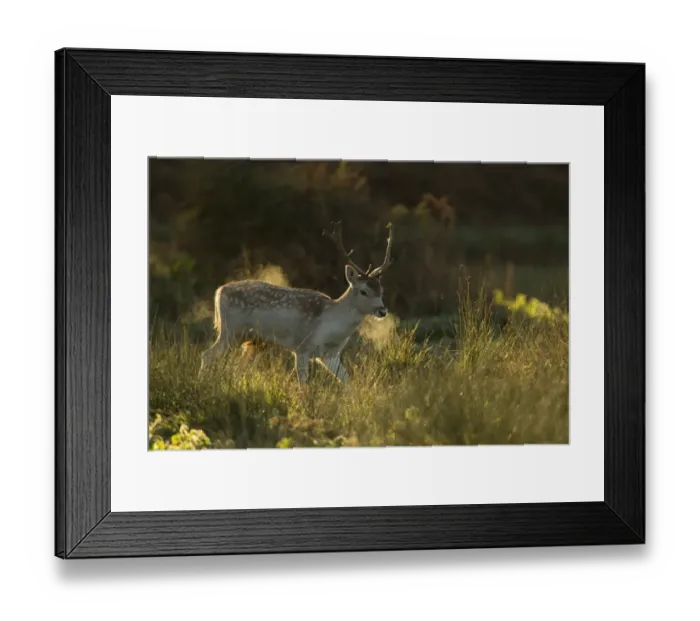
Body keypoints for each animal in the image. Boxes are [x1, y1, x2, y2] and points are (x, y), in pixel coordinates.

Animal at [199, 221, 394, 384]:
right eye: (363, 291)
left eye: (381, 290)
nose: (382, 310)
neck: (329, 326)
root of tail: (219, 291)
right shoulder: (302, 347)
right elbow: (303, 385)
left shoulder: (330, 355)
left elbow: (347, 382)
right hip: (231, 330)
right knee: (206, 354)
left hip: (249, 339)